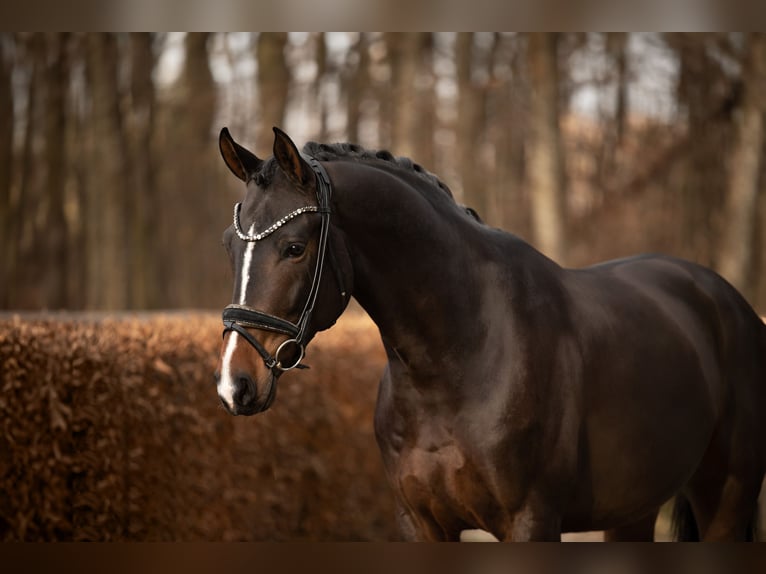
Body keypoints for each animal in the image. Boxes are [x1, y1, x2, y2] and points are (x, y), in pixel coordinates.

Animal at [213, 126, 766, 541]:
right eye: (229, 246)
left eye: (294, 247)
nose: (234, 384)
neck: (461, 356)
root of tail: (730, 303)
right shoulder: (420, 524)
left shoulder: (531, 523)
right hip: (634, 509)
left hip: (726, 498)